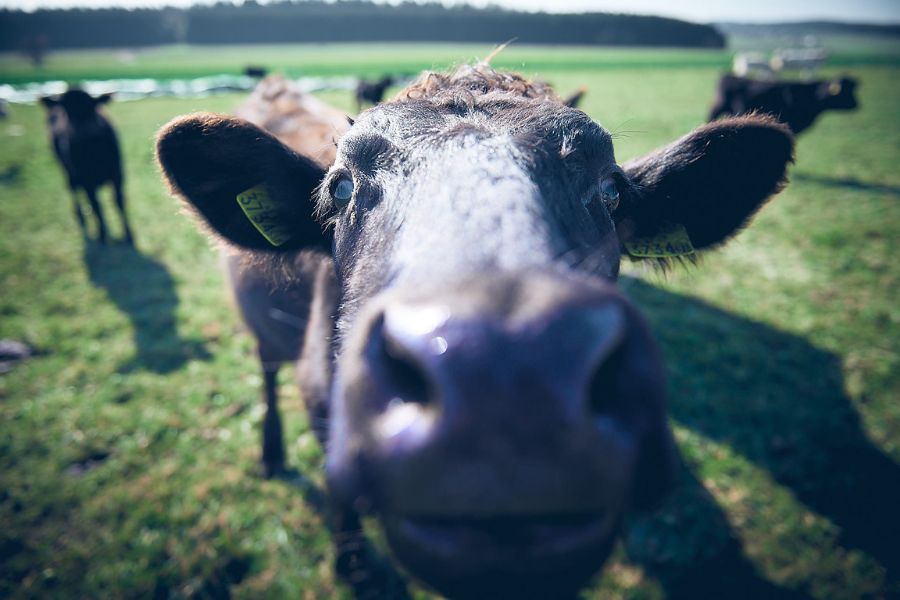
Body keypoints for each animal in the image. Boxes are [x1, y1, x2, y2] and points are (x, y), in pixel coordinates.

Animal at [40, 89, 134, 244]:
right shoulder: (86, 181)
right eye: (67, 111)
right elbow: (96, 206)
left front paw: (128, 234)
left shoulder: (118, 173)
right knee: (73, 190)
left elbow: (119, 202)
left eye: (91, 108)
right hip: (66, 171)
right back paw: (81, 217)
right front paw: (102, 235)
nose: (82, 132)